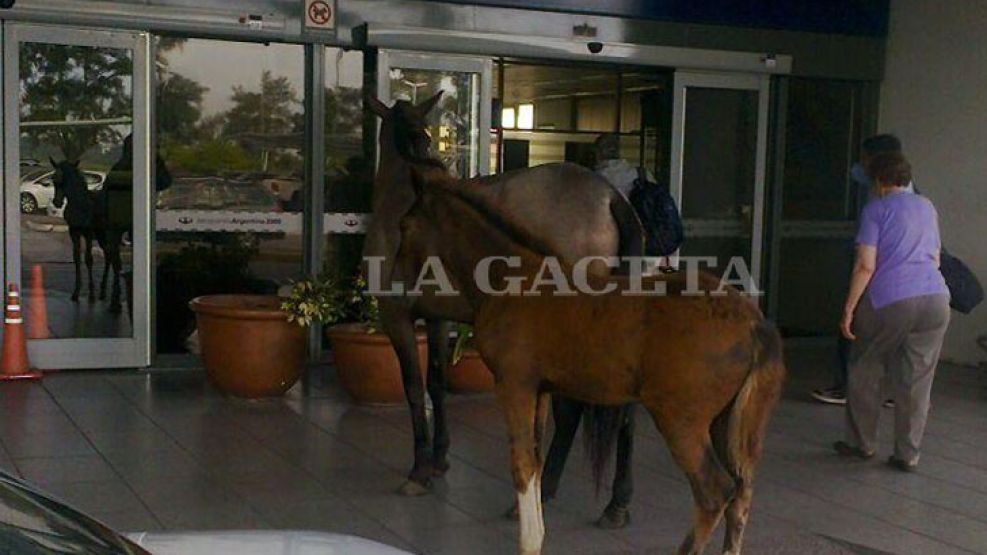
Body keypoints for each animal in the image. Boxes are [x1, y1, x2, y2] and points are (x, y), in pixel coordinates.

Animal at [50, 157, 120, 308]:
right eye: (53, 179)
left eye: (65, 179)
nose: (57, 202)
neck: (79, 204)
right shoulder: (73, 232)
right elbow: (76, 258)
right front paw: (76, 293)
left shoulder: (87, 233)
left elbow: (89, 259)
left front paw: (91, 295)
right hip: (100, 236)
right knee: (108, 256)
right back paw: (103, 291)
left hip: (104, 235)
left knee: (110, 256)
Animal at [364, 92, 648, 500]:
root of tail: (610, 196)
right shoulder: (437, 317)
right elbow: (437, 382)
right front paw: (439, 459)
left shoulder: (395, 314)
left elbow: (415, 388)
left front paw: (419, 469)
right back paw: (617, 500)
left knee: (570, 410)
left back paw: (547, 485)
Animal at [394, 168, 788, 555]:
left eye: (404, 226)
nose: (396, 284)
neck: (510, 279)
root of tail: (757, 327)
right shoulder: (540, 389)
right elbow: (536, 460)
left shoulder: (513, 383)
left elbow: (521, 465)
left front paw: (529, 541)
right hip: (731, 423)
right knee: (741, 493)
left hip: (681, 420)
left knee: (715, 492)